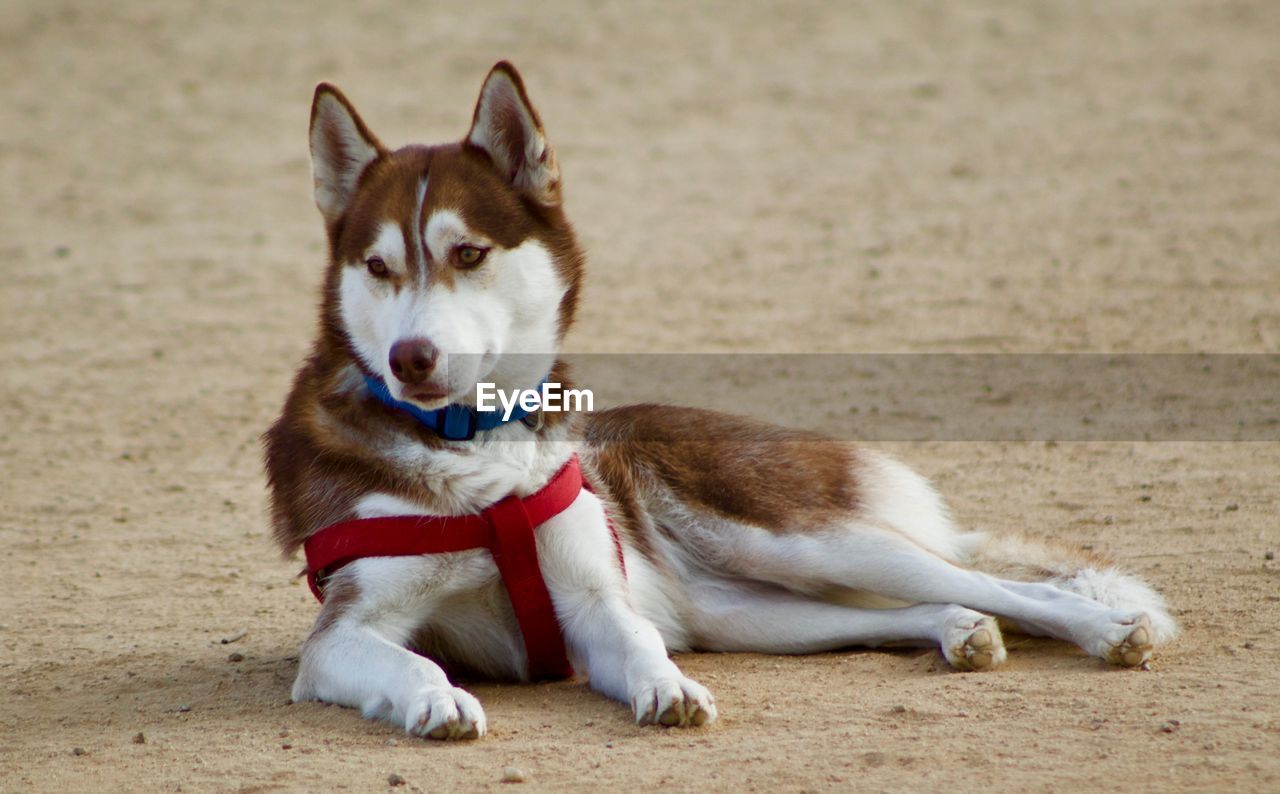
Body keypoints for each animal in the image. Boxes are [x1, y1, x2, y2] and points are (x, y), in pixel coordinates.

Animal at [262, 60, 1177, 737]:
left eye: (469, 253)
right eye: (378, 267)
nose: (409, 358)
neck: (477, 454)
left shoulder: (595, 605)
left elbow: (636, 647)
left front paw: (664, 690)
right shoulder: (344, 635)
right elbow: (406, 657)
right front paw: (435, 696)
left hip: (806, 543)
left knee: (1005, 584)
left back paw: (1102, 631)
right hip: (748, 613)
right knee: (915, 604)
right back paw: (956, 629)